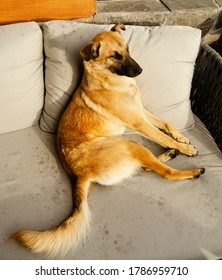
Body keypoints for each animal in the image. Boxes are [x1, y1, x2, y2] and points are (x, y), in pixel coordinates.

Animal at [10, 23, 205, 256]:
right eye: (115, 56)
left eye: (127, 49)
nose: (140, 71)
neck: (108, 77)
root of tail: (80, 175)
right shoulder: (139, 122)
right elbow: (161, 136)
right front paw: (185, 148)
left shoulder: (140, 112)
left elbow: (167, 124)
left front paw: (181, 138)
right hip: (131, 144)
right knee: (164, 173)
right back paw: (191, 170)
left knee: (147, 166)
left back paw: (170, 154)